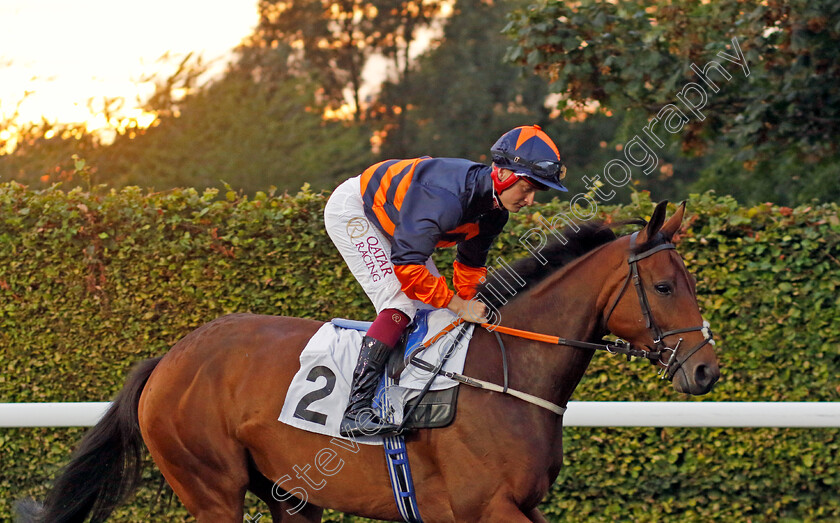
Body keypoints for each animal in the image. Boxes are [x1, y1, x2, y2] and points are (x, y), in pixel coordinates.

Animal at [16, 201, 720, 523]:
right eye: (665, 287)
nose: (706, 369)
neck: (505, 374)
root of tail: (170, 358)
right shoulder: (486, 507)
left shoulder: (520, 504)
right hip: (211, 488)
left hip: (290, 494)